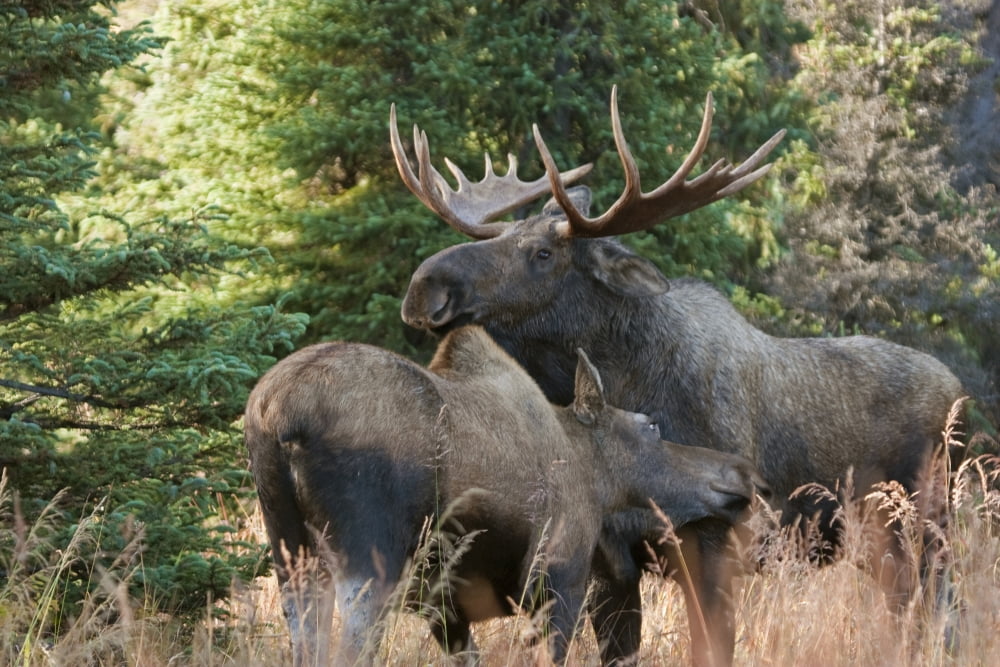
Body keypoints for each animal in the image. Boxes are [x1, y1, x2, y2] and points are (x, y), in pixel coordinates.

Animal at [244, 324, 766, 666]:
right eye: (650, 426)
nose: (744, 472)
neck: (592, 476)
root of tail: (276, 416)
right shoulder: (559, 578)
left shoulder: (445, 606)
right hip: (369, 556)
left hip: (291, 551)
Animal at [393, 87, 965, 667]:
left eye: (543, 253)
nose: (425, 286)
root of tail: (956, 390)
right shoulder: (608, 562)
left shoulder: (716, 546)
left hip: (924, 531)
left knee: (941, 617)